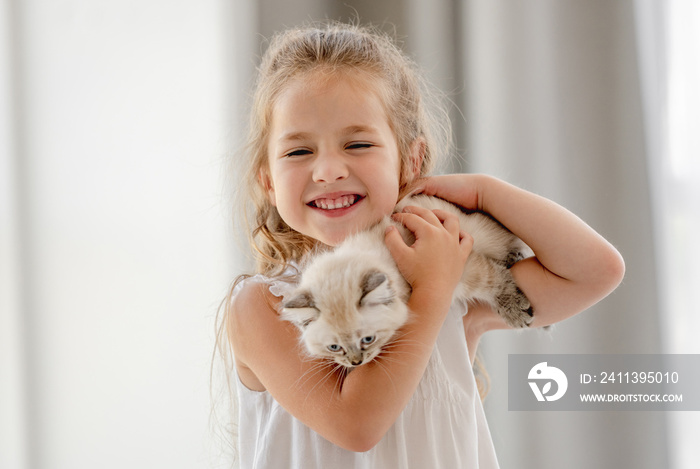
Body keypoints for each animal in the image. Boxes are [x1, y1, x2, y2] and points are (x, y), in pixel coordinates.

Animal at [278, 192, 532, 368]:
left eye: (368, 339)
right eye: (334, 347)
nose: (356, 363)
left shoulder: (464, 267)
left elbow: (496, 281)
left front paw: (518, 313)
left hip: (484, 233)